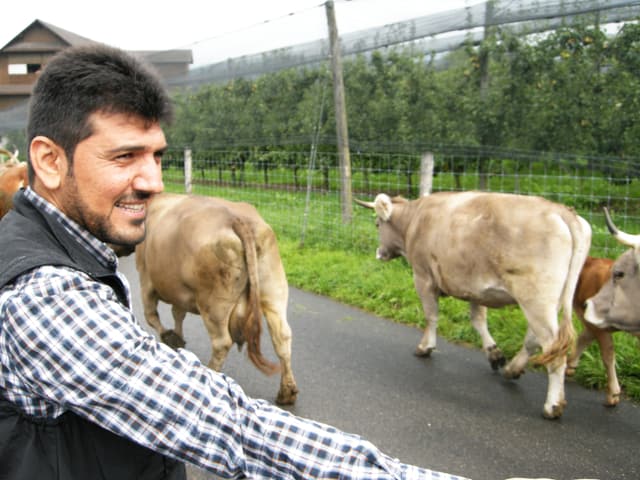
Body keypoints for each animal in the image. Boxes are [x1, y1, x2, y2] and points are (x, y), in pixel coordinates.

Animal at [134, 191, 298, 404]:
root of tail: (236, 219)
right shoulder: (180, 291)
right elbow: (178, 314)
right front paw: (178, 337)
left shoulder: (146, 278)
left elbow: (151, 316)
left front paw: (171, 338)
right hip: (273, 289)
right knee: (282, 335)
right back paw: (287, 392)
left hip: (214, 304)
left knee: (221, 343)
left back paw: (210, 372)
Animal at [356, 193, 592, 418]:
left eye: (377, 224)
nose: (379, 253)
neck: (415, 219)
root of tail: (561, 210)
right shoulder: (475, 289)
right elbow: (478, 321)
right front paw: (494, 354)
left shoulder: (423, 277)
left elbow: (431, 316)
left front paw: (425, 347)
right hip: (550, 301)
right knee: (535, 340)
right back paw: (512, 369)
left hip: (536, 300)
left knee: (554, 351)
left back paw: (552, 406)